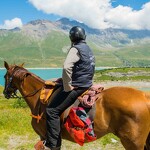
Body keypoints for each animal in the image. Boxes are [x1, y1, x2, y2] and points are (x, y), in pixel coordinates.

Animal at [2, 61, 150, 150]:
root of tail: (144, 95)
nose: (5, 93)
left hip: (133, 143)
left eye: (4, 76)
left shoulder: (44, 137)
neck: (40, 98)